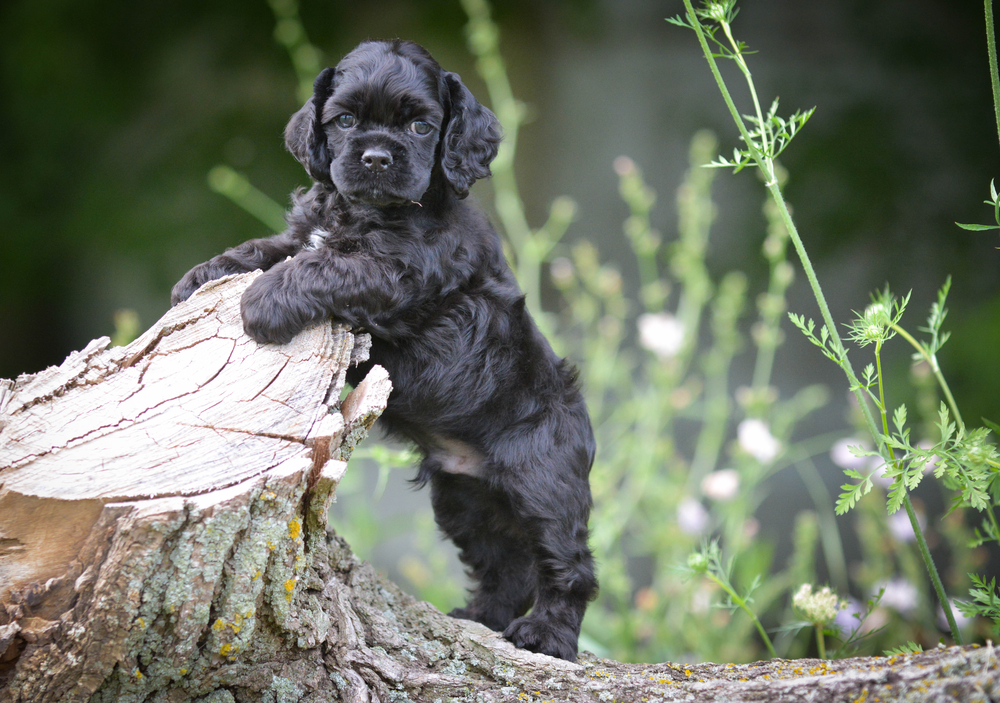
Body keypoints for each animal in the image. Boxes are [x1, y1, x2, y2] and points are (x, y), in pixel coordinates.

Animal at [172, 38, 596, 664]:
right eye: (344, 120)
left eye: (421, 126)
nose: (374, 159)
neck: (362, 209)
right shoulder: (304, 232)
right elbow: (269, 247)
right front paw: (201, 277)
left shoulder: (396, 270)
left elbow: (323, 264)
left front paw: (263, 302)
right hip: (467, 500)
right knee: (506, 565)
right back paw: (481, 619)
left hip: (543, 482)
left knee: (569, 564)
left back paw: (547, 637)